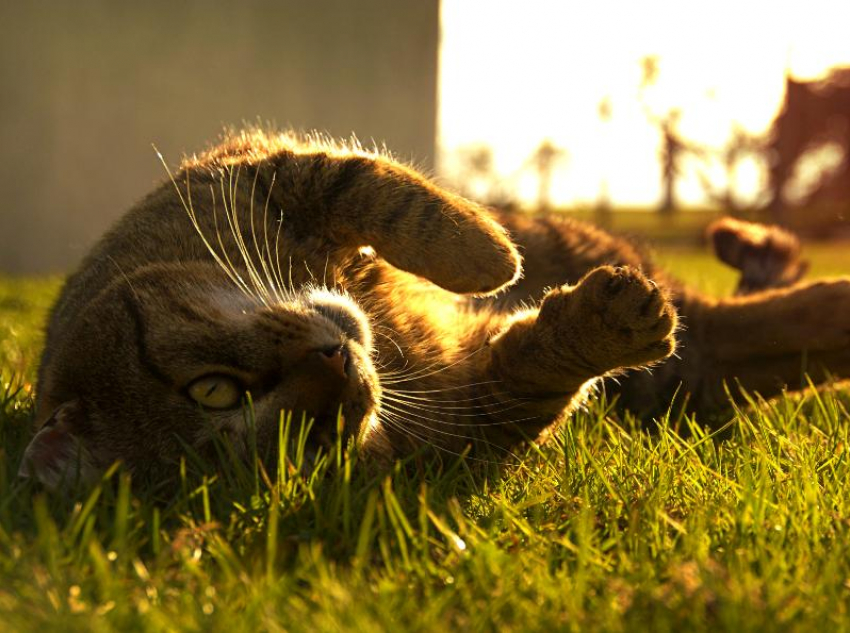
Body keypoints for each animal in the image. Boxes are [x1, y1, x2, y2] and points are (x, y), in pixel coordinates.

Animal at [18, 130, 848, 488]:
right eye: (301, 447)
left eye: (213, 387)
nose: (337, 366)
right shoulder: (475, 413)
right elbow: (538, 372)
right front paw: (591, 327)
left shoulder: (259, 166)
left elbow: (385, 194)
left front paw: (487, 257)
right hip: (680, 378)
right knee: (748, 334)